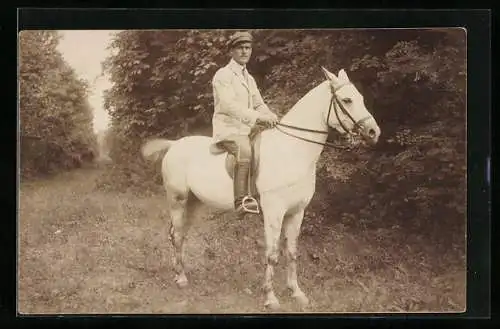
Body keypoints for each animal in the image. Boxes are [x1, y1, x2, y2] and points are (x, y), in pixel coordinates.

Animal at [142, 67, 382, 310]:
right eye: (347, 100)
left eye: (361, 98)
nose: (374, 132)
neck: (292, 150)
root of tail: (174, 145)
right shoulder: (274, 212)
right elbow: (272, 254)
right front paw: (270, 297)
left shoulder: (296, 212)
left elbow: (292, 252)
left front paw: (297, 293)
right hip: (178, 200)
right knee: (177, 235)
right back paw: (181, 278)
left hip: (193, 203)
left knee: (178, 234)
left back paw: (179, 273)